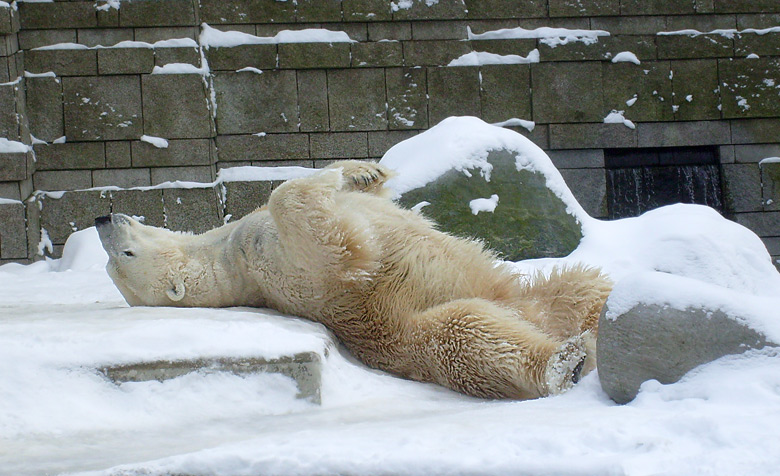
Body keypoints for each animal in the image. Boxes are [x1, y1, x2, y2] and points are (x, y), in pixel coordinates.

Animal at [96, 162, 608, 400]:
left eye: (118, 258)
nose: (102, 217)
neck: (221, 255)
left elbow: (367, 197)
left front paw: (360, 170)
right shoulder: (270, 260)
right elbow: (319, 235)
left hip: (537, 296)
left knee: (582, 285)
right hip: (414, 336)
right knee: (468, 333)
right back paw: (565, 361)